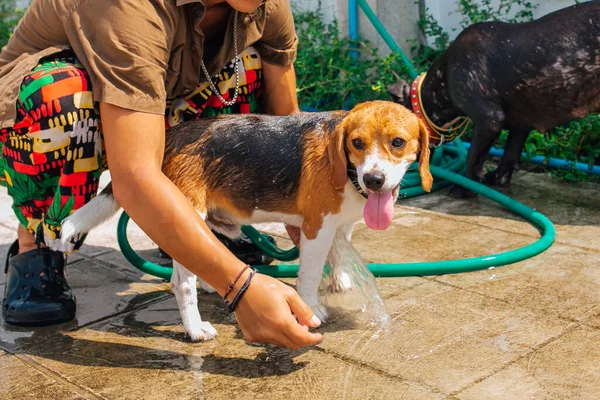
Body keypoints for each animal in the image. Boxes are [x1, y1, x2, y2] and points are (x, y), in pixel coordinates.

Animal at [57, 100, 432, 340]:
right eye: (356, 143)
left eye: (398, 142)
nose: (374, 180)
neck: (349, 172)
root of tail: (171, 137)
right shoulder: (315, 228)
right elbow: (309, 275)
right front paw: (312, 309)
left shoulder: (340, 224)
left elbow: (339, 251)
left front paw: (340, 278)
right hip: (185, 210)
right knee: (180, 283)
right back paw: (195, 329)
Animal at [390, 1, 600, 197]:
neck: (443, 79)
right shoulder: (520, 125)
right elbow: (509, 154)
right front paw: (496, 179)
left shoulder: (489, 120)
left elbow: (472, 157)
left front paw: (465, 188)